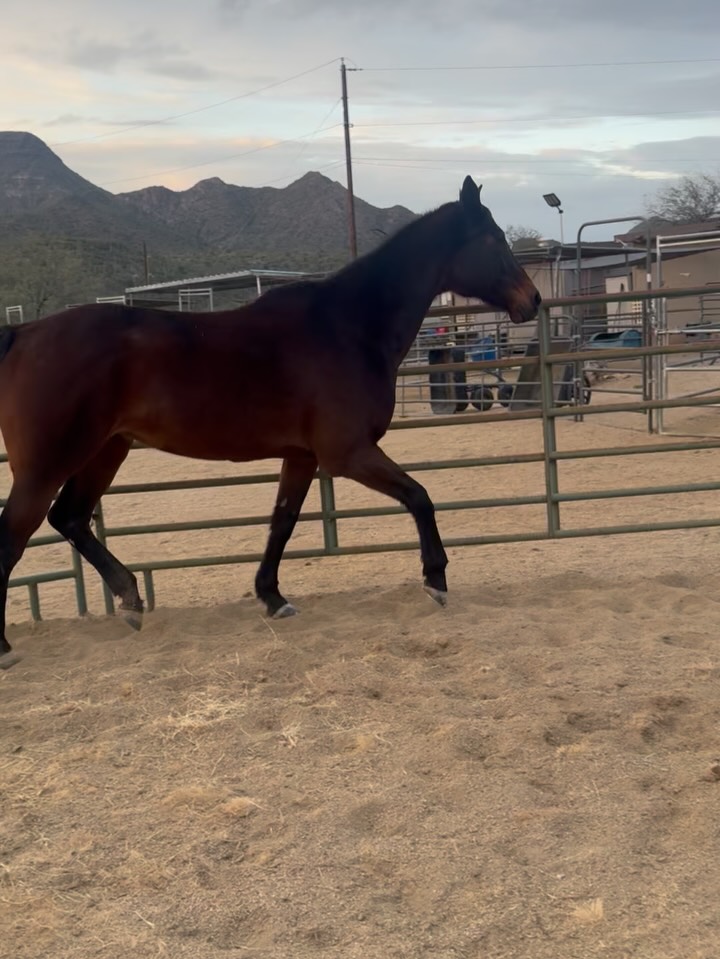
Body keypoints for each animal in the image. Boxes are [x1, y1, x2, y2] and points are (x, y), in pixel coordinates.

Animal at [0, 175, 540, 669]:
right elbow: (419, 497)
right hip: (48, 464)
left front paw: (273, 598)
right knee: (15, 533)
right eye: (494, 239)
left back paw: (131, 601)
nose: (532, 300)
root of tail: (24, 333)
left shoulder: (301, 457)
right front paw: (436, 580)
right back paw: (8, 648)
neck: (348, 327)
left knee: (70, 518)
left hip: (105, 450)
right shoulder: (348, 454)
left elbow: (282, 522)